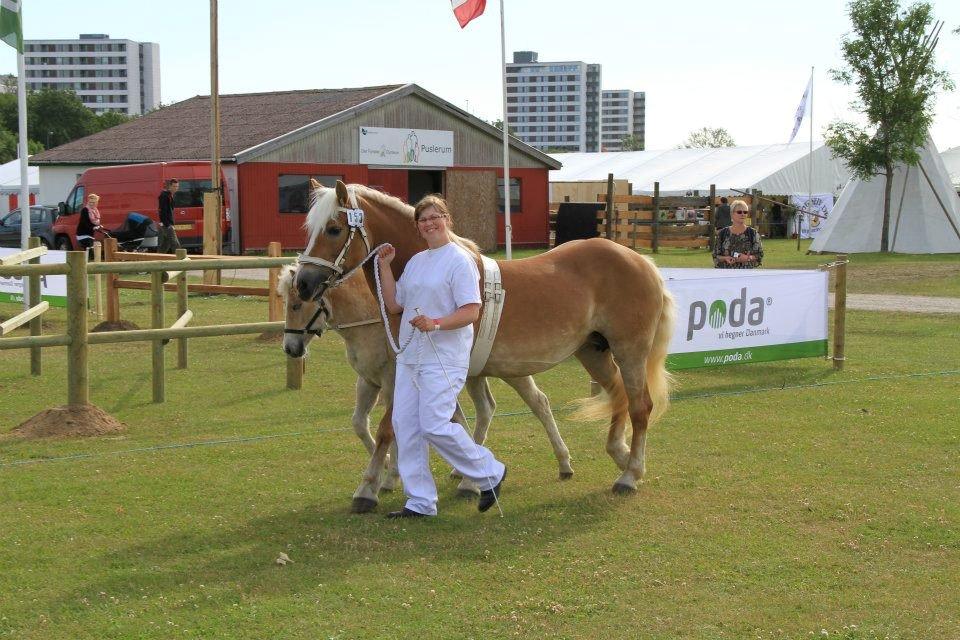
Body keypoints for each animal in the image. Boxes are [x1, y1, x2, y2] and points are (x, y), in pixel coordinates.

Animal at [282, 264, 572, 510]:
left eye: (296, 305)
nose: (290, 348)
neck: (369, 318)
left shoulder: (391, 383)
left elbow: (390, 429)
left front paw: (382, 480)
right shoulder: (368, 381)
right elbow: (359, 424)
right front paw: (387, 468)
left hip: (511, 372)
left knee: (538, 403)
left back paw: (563, 462)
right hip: (475, 376)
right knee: (487, 409)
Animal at [296, 182, 680, 492]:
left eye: (333, 229)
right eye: (309, 229)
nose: (303, 283)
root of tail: (640, 261)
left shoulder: (405, 374)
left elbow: (392, 427)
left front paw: (371, 487)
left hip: (630, 350)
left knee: (640, 405)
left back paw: (629, 474)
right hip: (593, 351)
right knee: (617, 395)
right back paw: (620, 454)